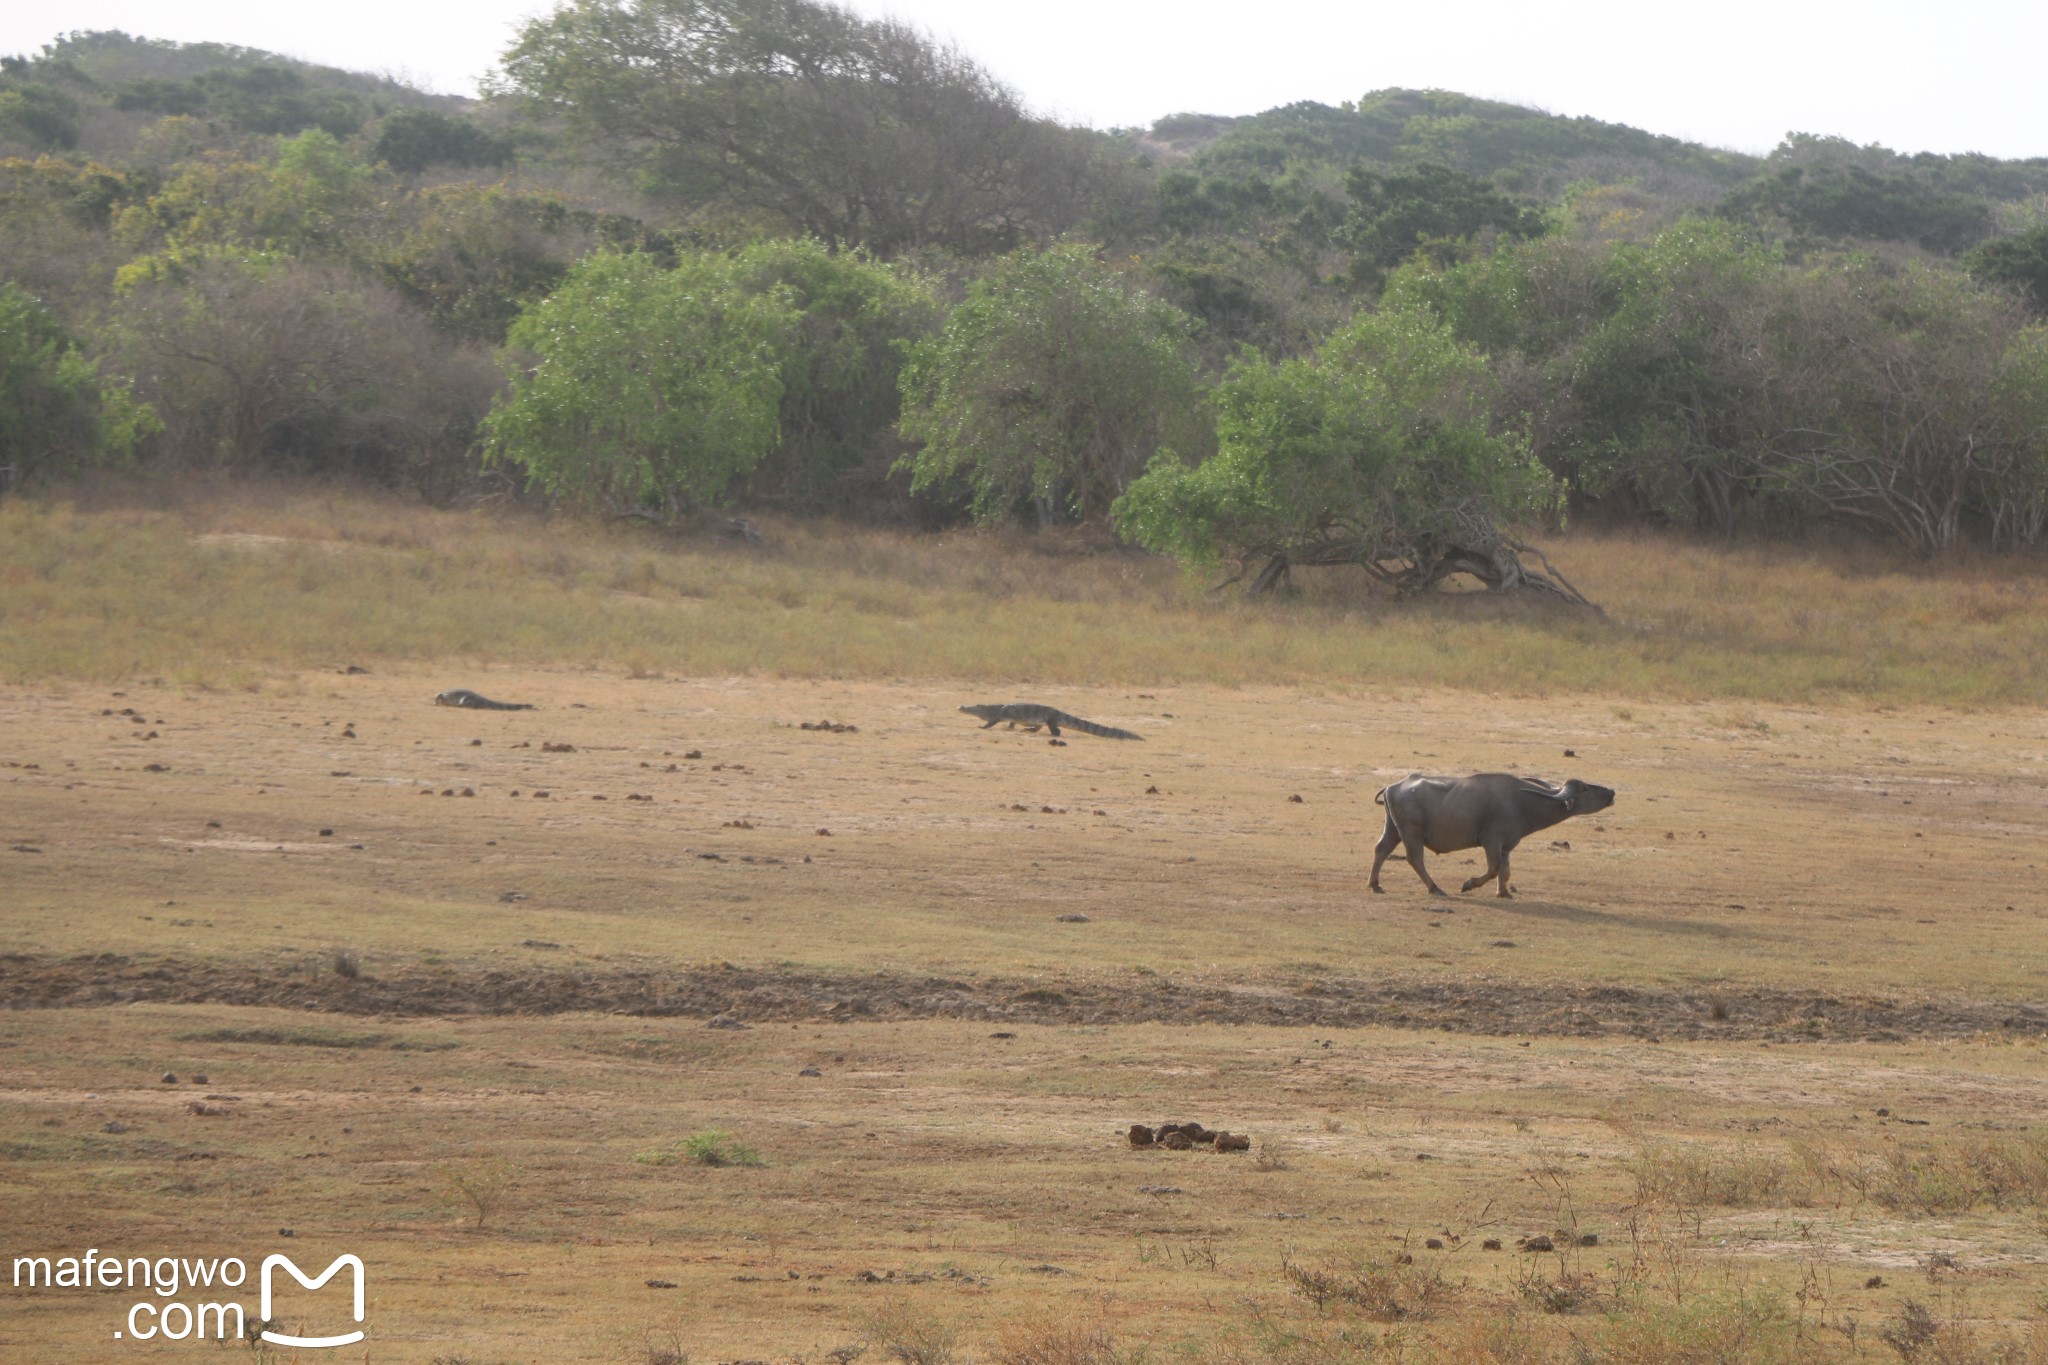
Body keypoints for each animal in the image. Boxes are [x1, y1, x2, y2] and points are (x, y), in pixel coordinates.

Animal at [1376, 773, 1613, 900]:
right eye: (1584, 789)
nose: (1611, 792)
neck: (1521, 803)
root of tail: (1392, 786)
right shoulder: (1492, 841)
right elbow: (1494, 869)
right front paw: (1468, 884)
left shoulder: (1506, 846)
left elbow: (1505, 871)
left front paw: (1504, 892)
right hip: (1411, 833)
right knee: (1415, 859)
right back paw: (1435, 888)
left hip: (1393, 830)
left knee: (1381, 849)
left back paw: (1375, 884)